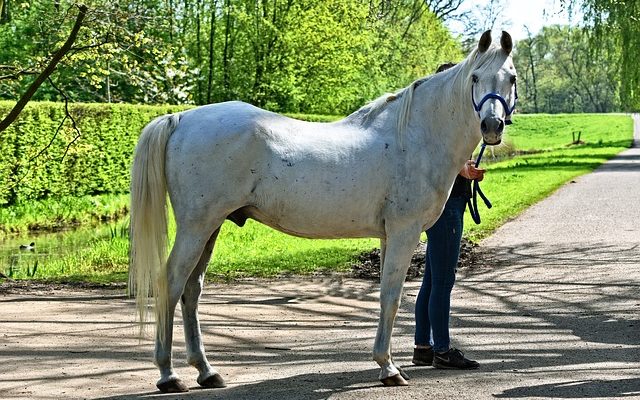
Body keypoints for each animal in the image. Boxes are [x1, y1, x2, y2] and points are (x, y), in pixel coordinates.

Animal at [129, 29, 516, 392]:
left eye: (510, 78)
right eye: (475, 77)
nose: (491, 127)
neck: (415, 136)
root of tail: (180, 118)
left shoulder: (389, 235)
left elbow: (386, 297)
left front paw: (386, 363)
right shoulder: (404, 233)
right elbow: (391, 297)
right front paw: (388, 369)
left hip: (211, 228)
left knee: (192, 291)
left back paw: (207, 372)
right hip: (196, 227)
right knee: (171, 284)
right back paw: (168, 375)